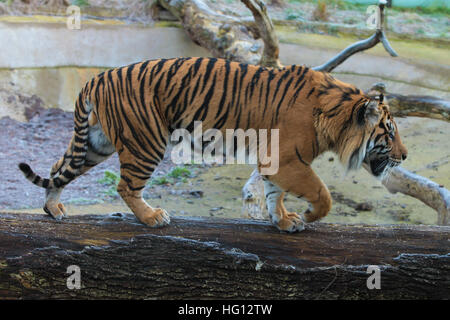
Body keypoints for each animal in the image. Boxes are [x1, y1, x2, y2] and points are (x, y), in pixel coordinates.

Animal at [17, 57, 406, 232]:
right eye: (388, 133)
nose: (404, 155)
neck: (335, 116)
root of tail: (96, 78)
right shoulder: (288, 159)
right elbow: (321, 193)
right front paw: (310, 215)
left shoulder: (277, 161)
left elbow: (273, 193)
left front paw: (283, 220)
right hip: (146, 141)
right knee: (126, 186)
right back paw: (152, 217)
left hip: (96, 144)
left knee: (58, 168)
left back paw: (53, 209)